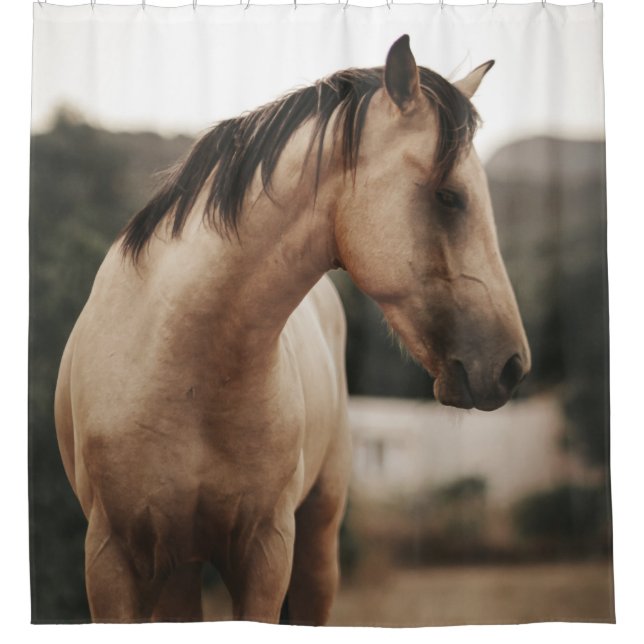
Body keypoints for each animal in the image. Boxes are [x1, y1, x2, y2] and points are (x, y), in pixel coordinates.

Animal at [54, 34, 530, 624]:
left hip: (316, 542)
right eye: (449, 196)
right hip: (180, 567)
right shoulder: (111, 560)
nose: (512, 366)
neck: (179, 364)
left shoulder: (265, 553)